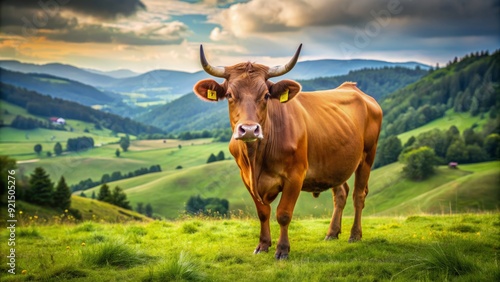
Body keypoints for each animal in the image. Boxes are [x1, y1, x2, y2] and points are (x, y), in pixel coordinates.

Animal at [193, 44, 380, 260]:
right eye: (230, 95)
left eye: (266, 95)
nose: (249, 129)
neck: (257, 157)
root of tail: (352, 88)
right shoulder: (247, 178)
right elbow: (263, 212)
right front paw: (263, 245)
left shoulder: (295, 176)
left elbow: (283, 214)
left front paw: (282, 249)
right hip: (334, 163)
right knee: (341, 193)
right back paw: (332, 233)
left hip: (367, 156)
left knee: (359, 195)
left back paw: (355, 235)